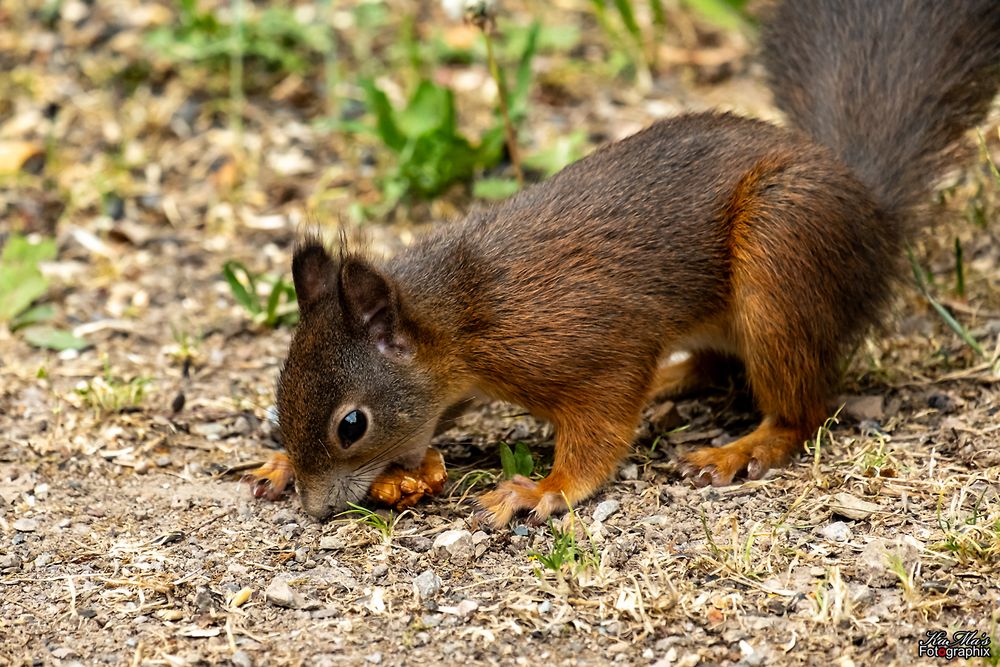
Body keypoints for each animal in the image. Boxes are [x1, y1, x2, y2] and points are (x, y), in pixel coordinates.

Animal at [246, 2, 1000, 528]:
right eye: (278, 396)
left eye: (352, 426)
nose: (314, 509)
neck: (461, 314)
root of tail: (873, 214)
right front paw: (280, 462)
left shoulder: (586, 345)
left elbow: (601, 426)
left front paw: (543, 490)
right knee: (718, 364)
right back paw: (673, 380)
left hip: (782, 256)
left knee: (802, 408)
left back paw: (742, 448)